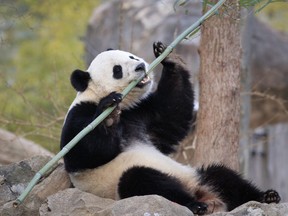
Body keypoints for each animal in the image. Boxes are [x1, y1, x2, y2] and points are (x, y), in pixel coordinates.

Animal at [61, 41, 282, 214]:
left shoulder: (139, 115)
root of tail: (207, 197)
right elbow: (82, 152)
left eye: (131, 56)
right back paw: (194, 205)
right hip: (121, 186)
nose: (140, 66)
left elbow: (171, 113)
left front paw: (169, 57)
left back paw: (266, 197)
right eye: (117, 70)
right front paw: (108, 116)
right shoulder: (79, 115)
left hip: (196, 176)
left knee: (222, 177)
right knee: (143, 179)